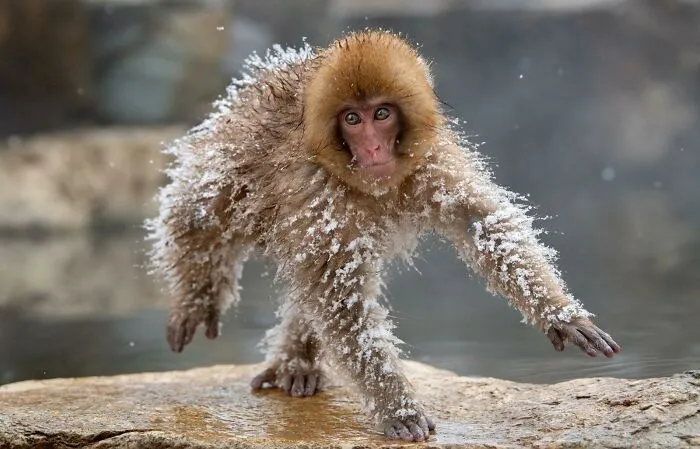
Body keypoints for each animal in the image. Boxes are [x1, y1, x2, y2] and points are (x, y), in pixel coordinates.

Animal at [145, 30, 621, 442]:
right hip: (229, 148)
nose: (373, 148)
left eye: (382, 114)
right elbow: (339, 296)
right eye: (352, 119)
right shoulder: (318, 189)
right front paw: (398, 406)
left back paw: (297, 359)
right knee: (200, 212)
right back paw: (201, 295)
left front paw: (560, 314)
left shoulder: (430, 161)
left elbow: (481, 224)